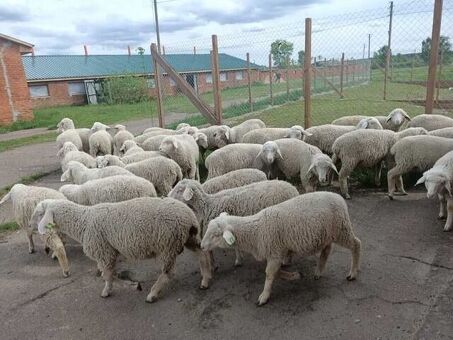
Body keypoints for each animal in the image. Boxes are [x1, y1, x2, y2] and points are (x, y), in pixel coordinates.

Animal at [30, 197, 200, 302]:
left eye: (39, 213)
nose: (30, 226)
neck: (84, 222)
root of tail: (190, 218)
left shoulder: (104, 252)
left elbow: (107, 274)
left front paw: (107, 291)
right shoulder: (108, 252)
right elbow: (109, 272)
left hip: (167, 244)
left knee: (167, 273)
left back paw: (152, 294)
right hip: (187, 240)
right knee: (202, 254)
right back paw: (204, 279)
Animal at [168, 179, 298, 288]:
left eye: (179, 189)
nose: (167, 197)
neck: (205, 208)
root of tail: (292, 188)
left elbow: (209, 252)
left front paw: (210, 271)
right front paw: (225, 263)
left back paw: (286, 261)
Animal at [200, 191, 360, 306]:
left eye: (216, 235)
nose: (201, 246)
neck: (256, 232)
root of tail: (338, 197)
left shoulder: (275, 252)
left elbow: (270, 274)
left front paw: (264, 296)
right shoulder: (277, 253)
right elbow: (276, 272)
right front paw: (295, 275)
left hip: (341, 228)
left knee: (356, 244)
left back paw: (352, 273)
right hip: (326, 233)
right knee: (327, 250)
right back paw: (318, 272)